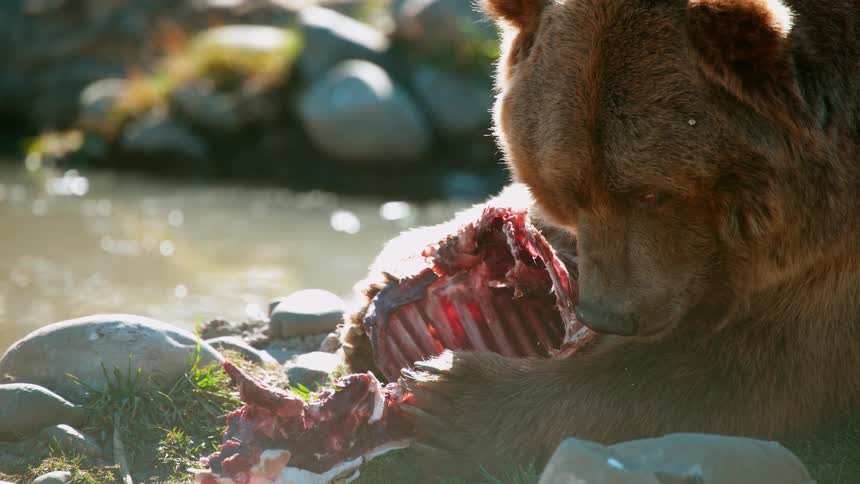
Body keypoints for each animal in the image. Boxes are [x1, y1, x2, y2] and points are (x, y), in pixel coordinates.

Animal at [339, 0, 860, 476]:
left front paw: (452, 398)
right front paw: (376, 298)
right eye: (567, 189)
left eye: (653, 193)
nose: (608, 314)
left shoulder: (828, 265)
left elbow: (742, 370)